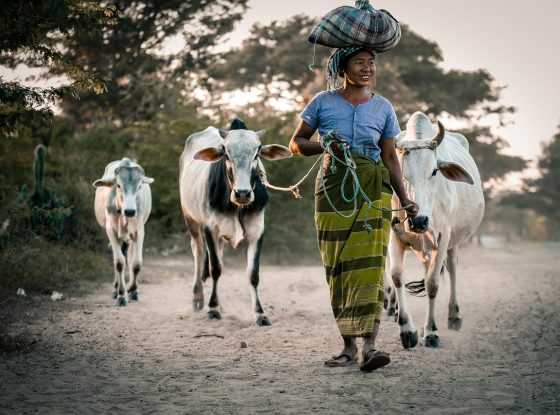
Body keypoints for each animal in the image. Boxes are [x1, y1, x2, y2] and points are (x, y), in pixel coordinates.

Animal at [94, 157, 154, 306]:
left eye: (139, 186)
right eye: (119, 186)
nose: (130, 211)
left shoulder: (139, 231)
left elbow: (136, 263)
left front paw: (132, 289)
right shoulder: (111, 230)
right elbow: (119, 262)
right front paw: (121, 295)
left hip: (130, 238)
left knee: (130, 256)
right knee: (119, 257)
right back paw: (116, 289)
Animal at [180, 118, 294, 326]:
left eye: (257, 152)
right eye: (225, 152)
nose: (242, 193)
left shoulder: (257, 231)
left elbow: (253, 274)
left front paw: (260, 314)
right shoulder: (210, 228)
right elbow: (215, 269)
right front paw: (213, 309)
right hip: (191, 220)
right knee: (198, 253)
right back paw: (199, 299)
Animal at [388, 112, 484, 350]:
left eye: (434, 171)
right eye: (401, 173)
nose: (419, 221)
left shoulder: (443, 237)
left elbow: (432, 283)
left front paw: (431, 332)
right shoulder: (394, 234)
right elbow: (396, 276)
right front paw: (408, 330)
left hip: (453, 242)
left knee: (451, 269)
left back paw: (454, 316)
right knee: (426, 267)